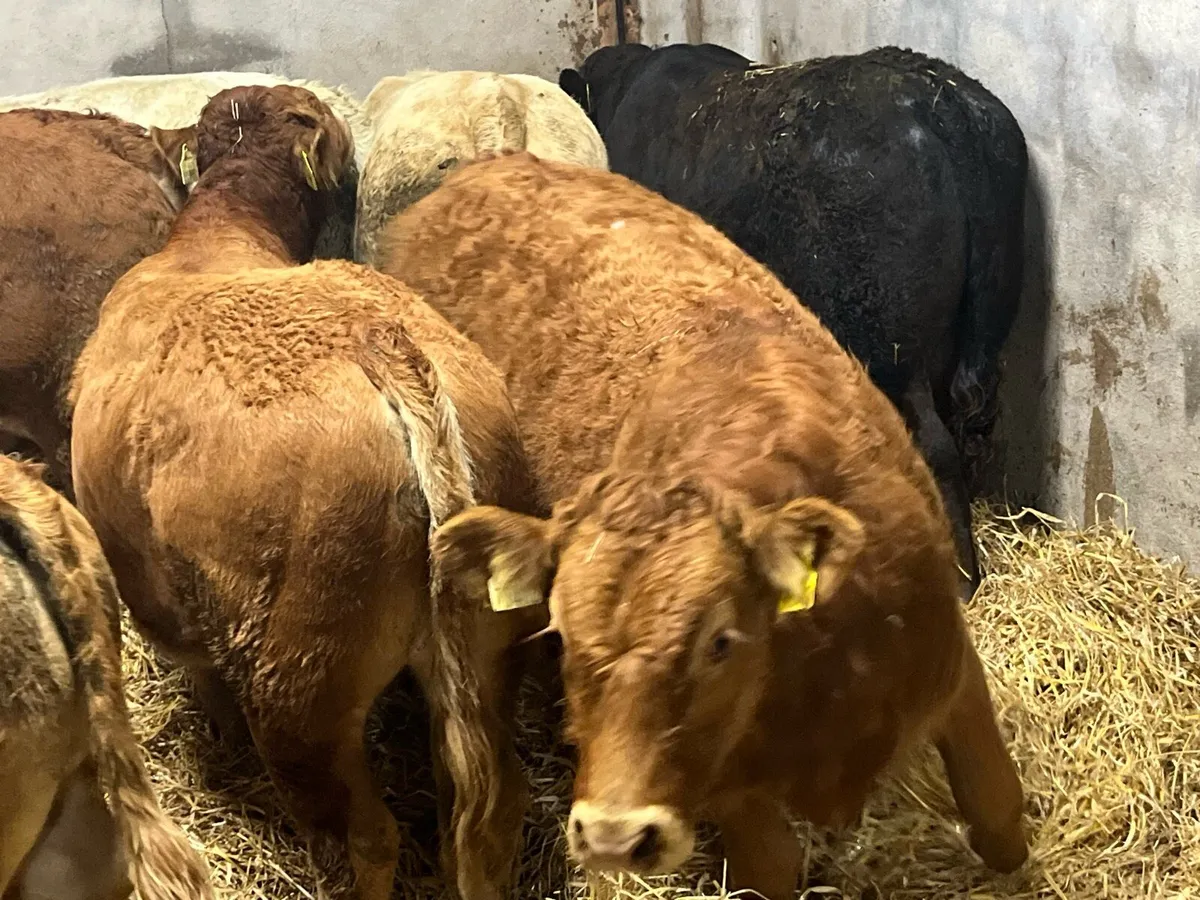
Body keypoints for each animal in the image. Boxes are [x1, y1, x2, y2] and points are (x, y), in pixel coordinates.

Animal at [68, 86, 545, 900]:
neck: (213, 239)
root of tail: (384, 348)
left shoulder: (150, 583)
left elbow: (201, 669)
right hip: (485, 651)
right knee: (488, 808)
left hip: (299, 687)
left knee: (368, 833)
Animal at [374, 152, 1029, 899]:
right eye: (563, 636)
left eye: (721, 640)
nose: (613, 834)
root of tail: (485, 166)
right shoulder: (733, 799)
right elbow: (772, 868)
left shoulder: (948, 662)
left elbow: (997, 806)